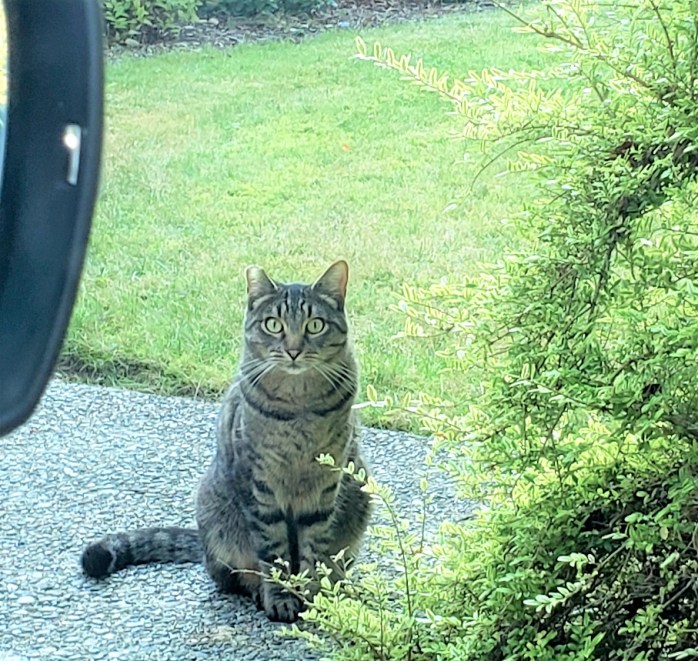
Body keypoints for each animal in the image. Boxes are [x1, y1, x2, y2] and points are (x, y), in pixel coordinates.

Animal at [80, 260, 372, 623]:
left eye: (315, 325)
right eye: (273, 324)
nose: (293, 350)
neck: (298, 407)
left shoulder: (324, 486)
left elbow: (313, 551)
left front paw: (313, 596)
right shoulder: (259, 485)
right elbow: (273, 554)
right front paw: (281, 597)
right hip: (217, 517)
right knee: (232, 577)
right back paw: (257, 591)